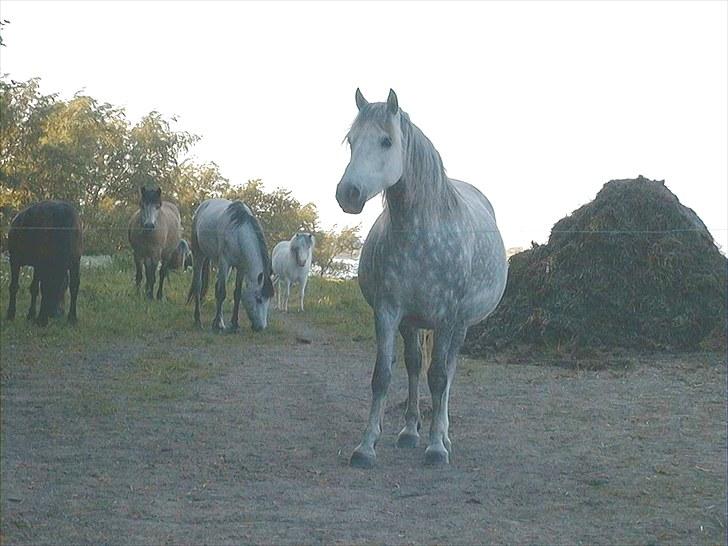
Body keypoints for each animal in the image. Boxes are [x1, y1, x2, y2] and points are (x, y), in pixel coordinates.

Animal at [186, 198, 274, 330]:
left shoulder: (241, 267)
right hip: (199, 255)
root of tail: (202, 206)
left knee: (216, 286)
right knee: (198, 285)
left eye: (268, 299)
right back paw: (198, 320)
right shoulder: (224, 262)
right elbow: (222, 293)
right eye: (258, 299)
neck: (237, 233)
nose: (261, 327)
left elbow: (237, 293)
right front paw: (218, 326)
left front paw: (234, 324)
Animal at [336, 89, 506, 468]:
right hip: (411, 323)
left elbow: (439, 377)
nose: (347, 194)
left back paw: (441, 434)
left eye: (386, 141)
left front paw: (436, 448)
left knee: (448, 370)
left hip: (459, 325)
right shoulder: (388, 312)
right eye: (351, 141)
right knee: (414, 366)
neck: (421, 235)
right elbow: (382, 375)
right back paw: (410, 431)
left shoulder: (447, 317)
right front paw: (366, 446)